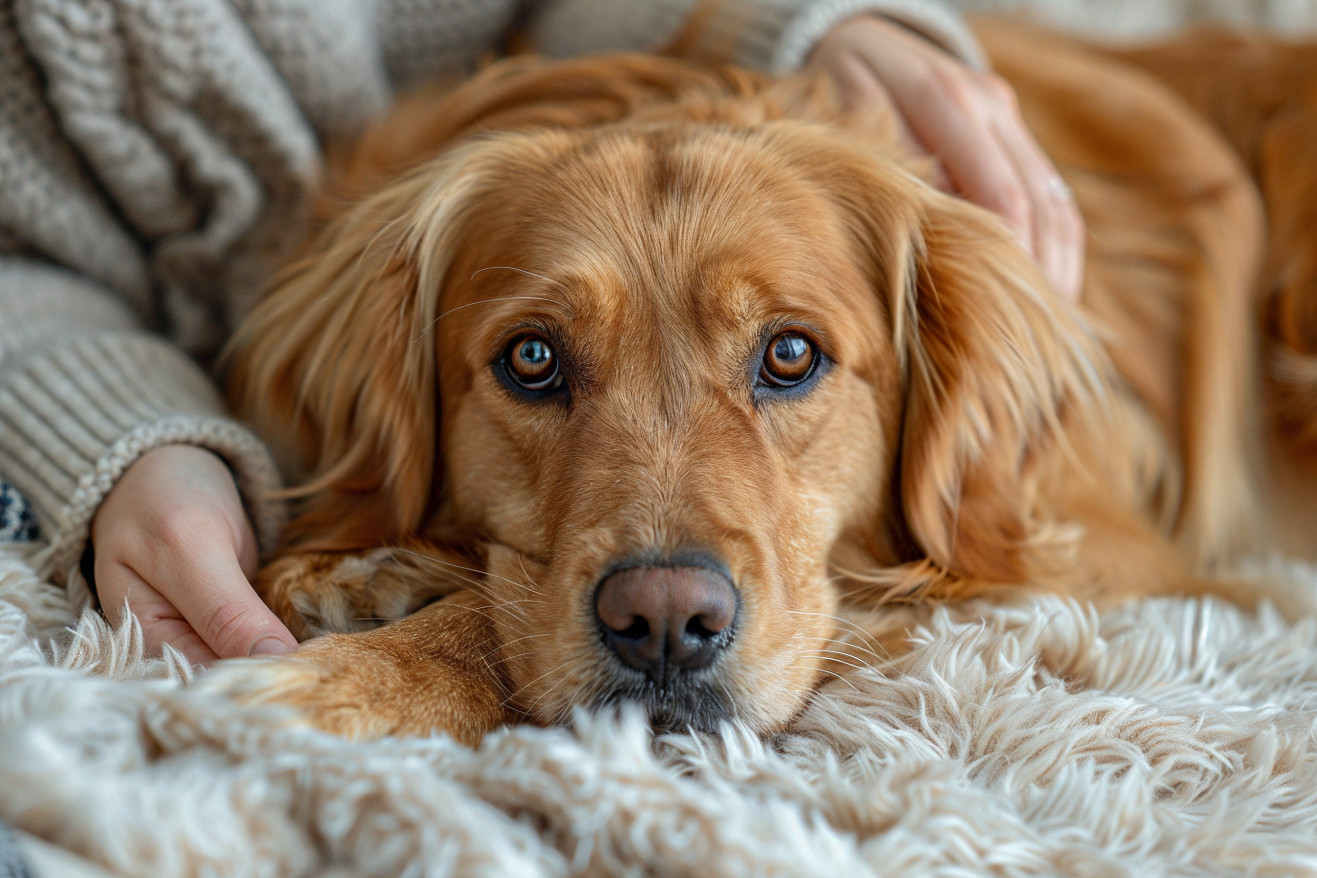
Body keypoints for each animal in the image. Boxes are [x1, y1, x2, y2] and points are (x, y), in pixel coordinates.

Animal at [221, 20, 1317, 747]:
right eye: (531, 360)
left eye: (790, 355)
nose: (665, 624)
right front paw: (363, 572)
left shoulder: (1064, 558)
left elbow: (502, 618)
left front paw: (354, 679)